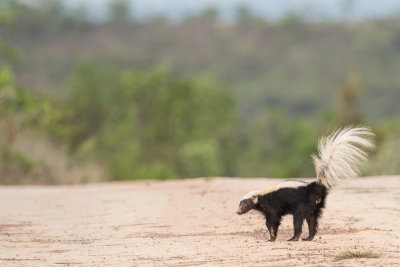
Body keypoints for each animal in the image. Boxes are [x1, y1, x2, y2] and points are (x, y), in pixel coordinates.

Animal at [236, 127, 374, 243]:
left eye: (245, 204)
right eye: (240, 204)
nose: (238, 211)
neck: (260, 195)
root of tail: (315, 186)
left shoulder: (271, 206)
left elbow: (273, 221)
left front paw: (272, 237)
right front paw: (271, 237)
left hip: (302, 205)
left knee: (298, 220)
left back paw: (294, 238)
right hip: (315, 206)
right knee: (312, 221)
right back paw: (309, 237)